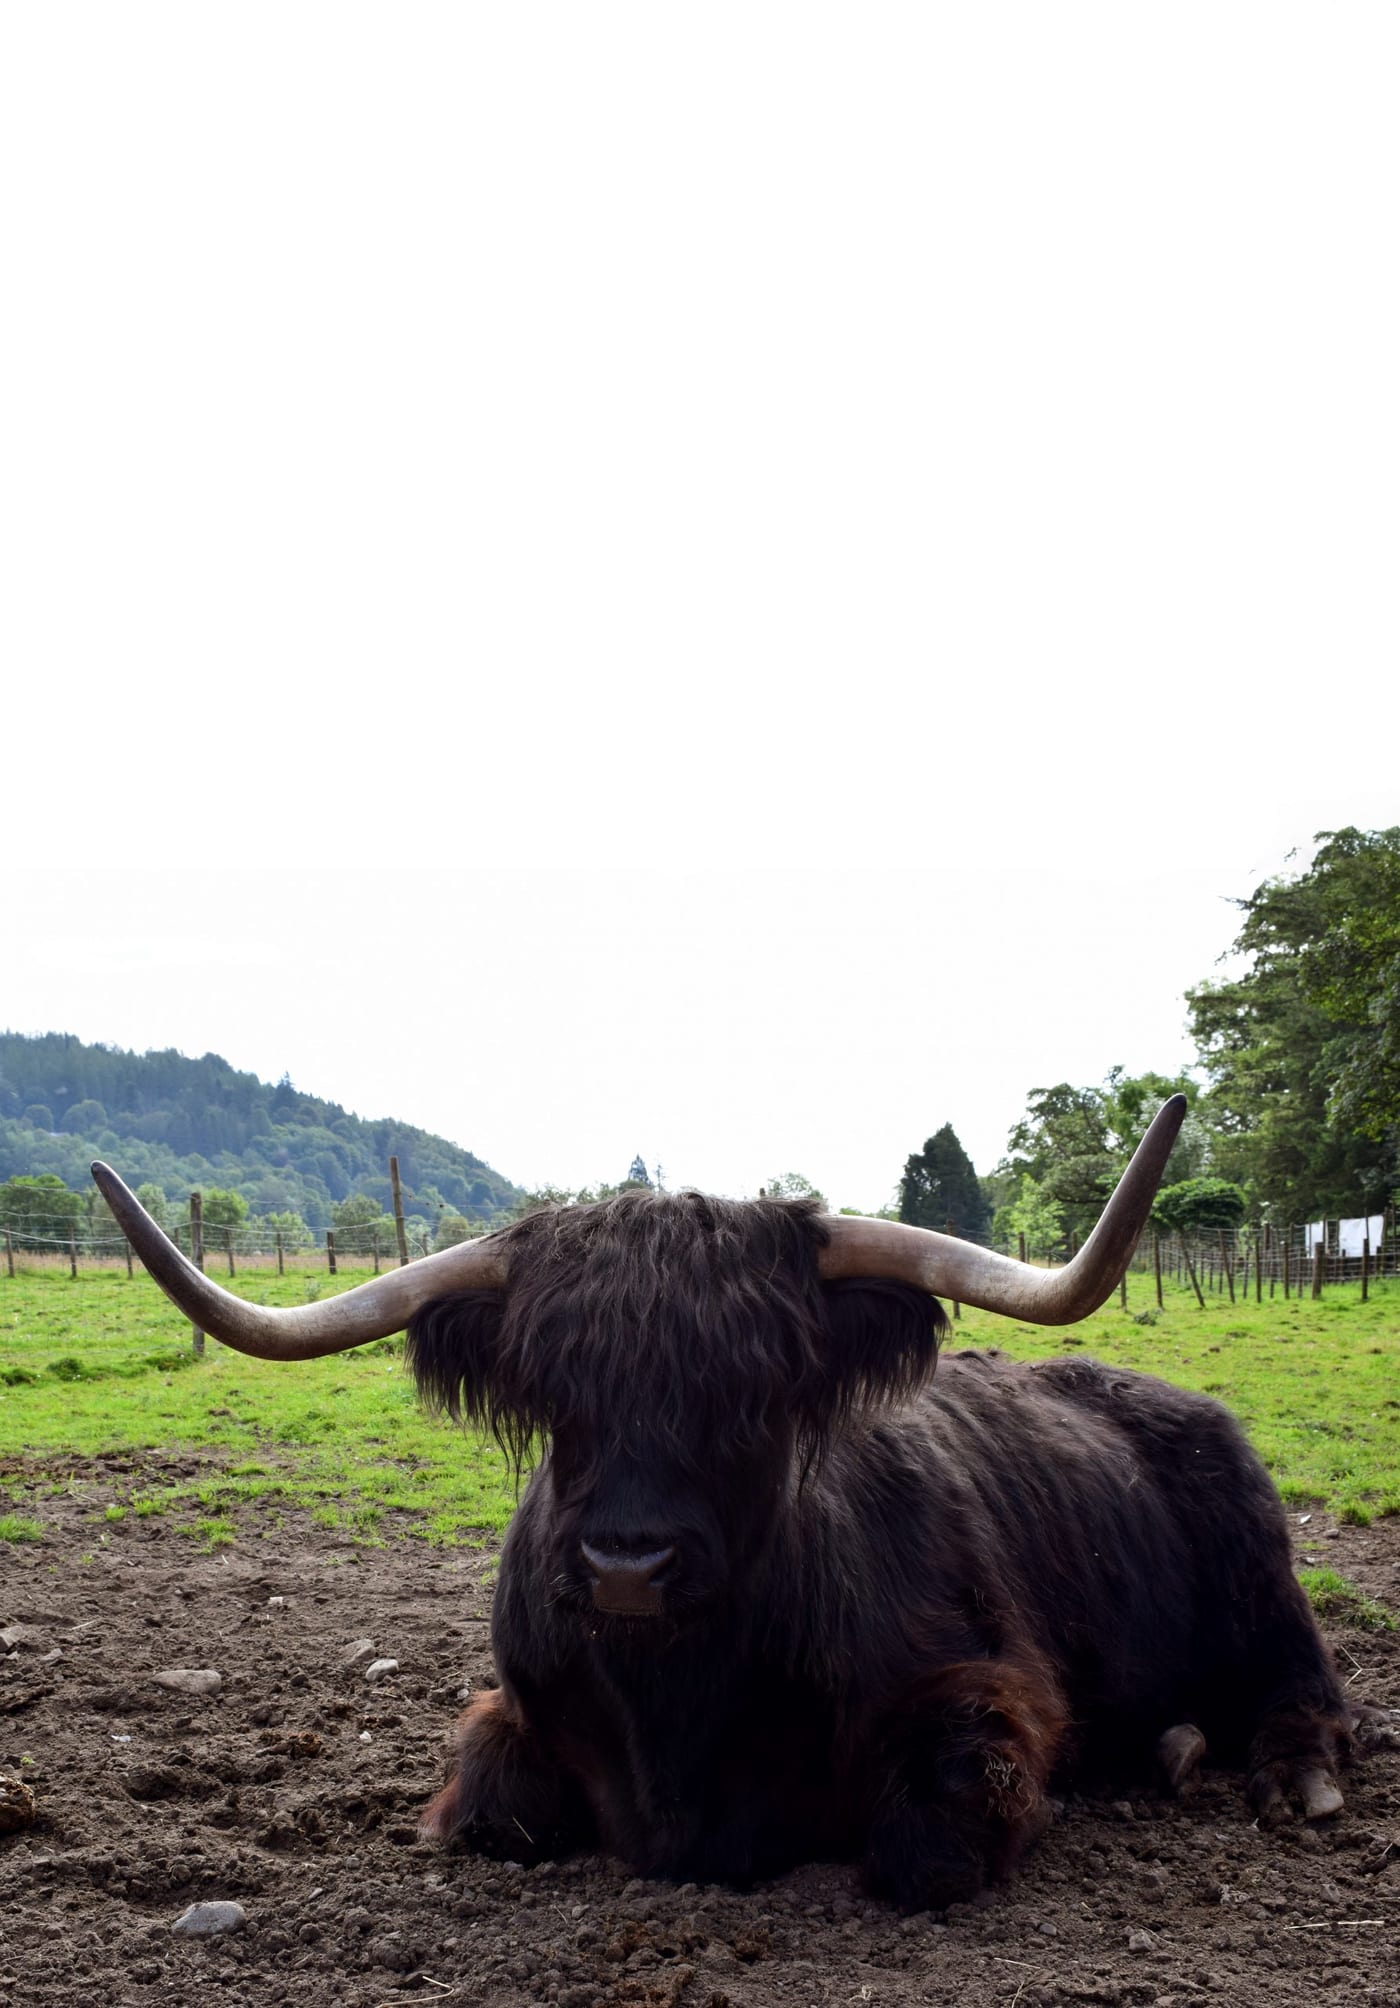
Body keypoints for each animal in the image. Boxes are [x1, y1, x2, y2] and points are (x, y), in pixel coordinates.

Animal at [91, 1098, 1382, 1911]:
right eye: (555, 1390)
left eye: (752, 1388)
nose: (625, 1563)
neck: (677, 1705)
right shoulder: (514, 1714)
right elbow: (490, 1810)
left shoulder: (987, 1690)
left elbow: (928, 1841)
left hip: (1264, 1577)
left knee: (1305, 1686)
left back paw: (1281, 1776)